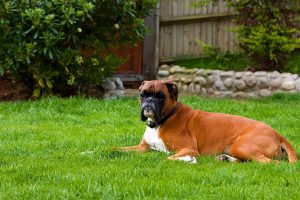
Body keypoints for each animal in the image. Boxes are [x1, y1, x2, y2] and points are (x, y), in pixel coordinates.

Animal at [120, 80, 298, 164]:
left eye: (160, 96)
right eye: (143, 94)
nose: (149, 101)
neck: (161, 121)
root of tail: (278, 134)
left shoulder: (188, 148)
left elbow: (168, 158)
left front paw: (188, 160)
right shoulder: (143, 147)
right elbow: (120, 149)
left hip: (241, 146)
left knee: (271, 163)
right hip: (237, 149)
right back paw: (225, 159)